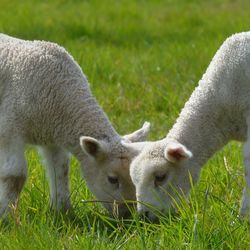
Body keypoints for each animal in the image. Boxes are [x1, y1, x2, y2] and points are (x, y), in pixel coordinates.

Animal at [0, 33, 150, 217]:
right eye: (112, 179)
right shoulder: (10, 128)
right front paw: (6, 216)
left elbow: (61, 170)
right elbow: (15, 175)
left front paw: (62, 211)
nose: (128, 215)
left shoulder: (52, 138)